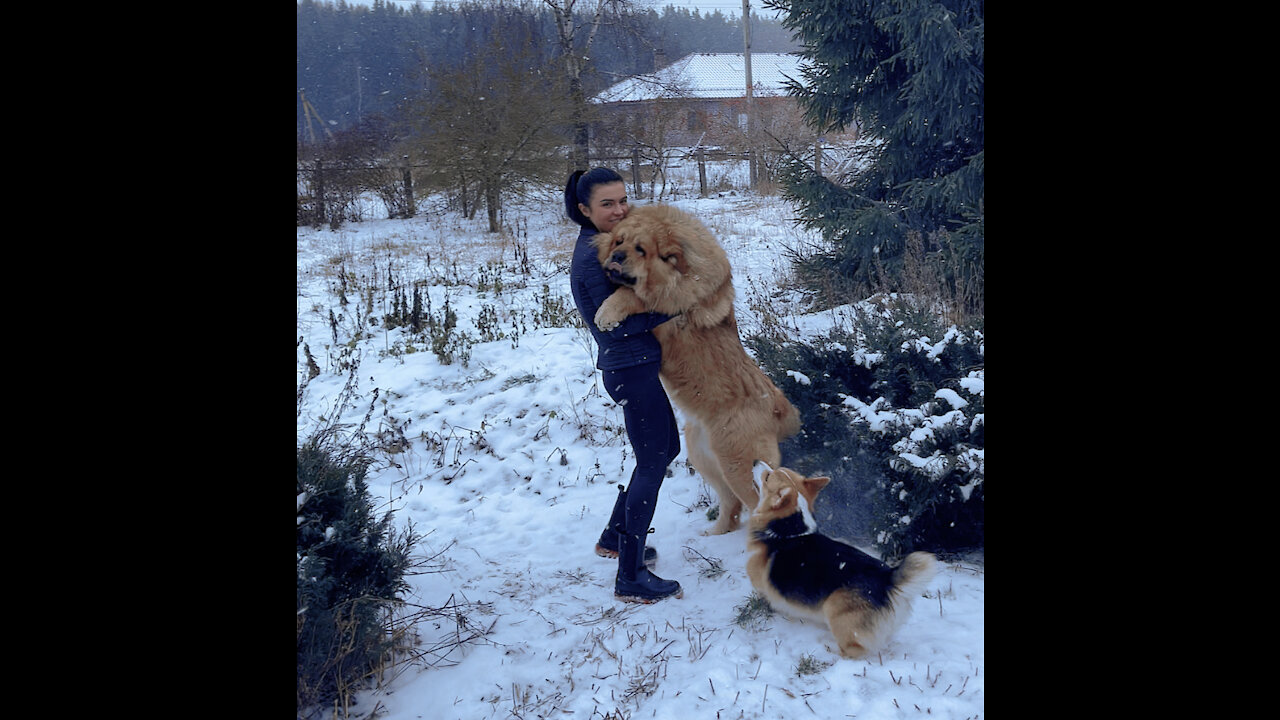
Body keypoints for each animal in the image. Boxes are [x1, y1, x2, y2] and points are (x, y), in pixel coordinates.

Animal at [591, 203, 793, 532]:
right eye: (619, 241)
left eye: (640, 249)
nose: (617, 257)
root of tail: (779, 408)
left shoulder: (675, 298)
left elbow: (635, 294)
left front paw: (607, 312)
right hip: (706, 457)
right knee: (731, 504)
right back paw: (716, 533)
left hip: (739, 466)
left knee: (756, 506)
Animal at [742, 461, 942, 661]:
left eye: (767, 477)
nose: (755, 461)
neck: (789, 529)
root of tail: (887, 579)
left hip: (836, 612)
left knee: (855, 649)